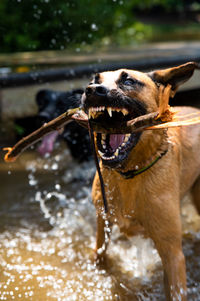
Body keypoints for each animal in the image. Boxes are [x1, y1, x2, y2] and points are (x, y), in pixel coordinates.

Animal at [81, 62, 200, 298]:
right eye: (93, 80)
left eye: (128, 81)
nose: (92, 90)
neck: (130, 173)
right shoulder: (103, 226)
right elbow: (99, 255)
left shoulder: (172, 254)